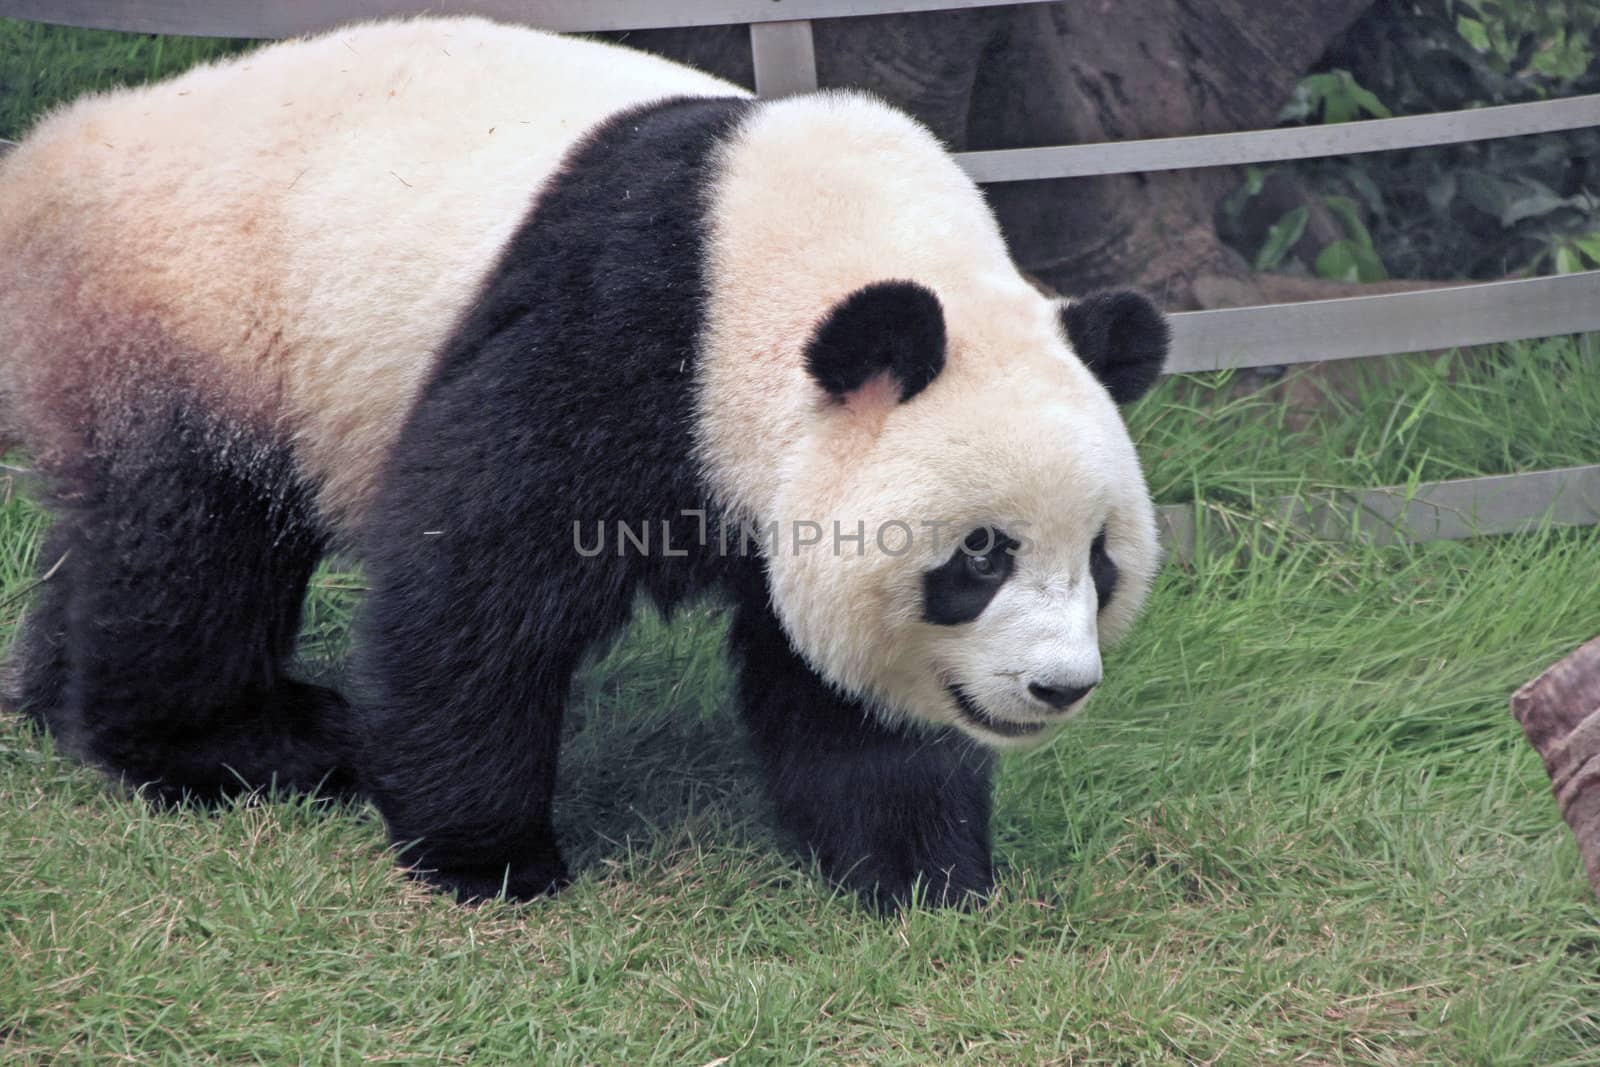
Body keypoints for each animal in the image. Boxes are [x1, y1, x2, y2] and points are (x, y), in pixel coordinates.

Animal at [0, 16, 1177, 908]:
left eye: (1100, 559)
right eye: (979, 555)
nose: (1058, 686)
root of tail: (47, 156)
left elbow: (834, 680)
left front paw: (922, 868)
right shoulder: (621, 329)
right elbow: (475, 582)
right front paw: (489, 859)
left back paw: (54, 697)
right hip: (199, 311)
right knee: (197, 545)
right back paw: (237, 742)